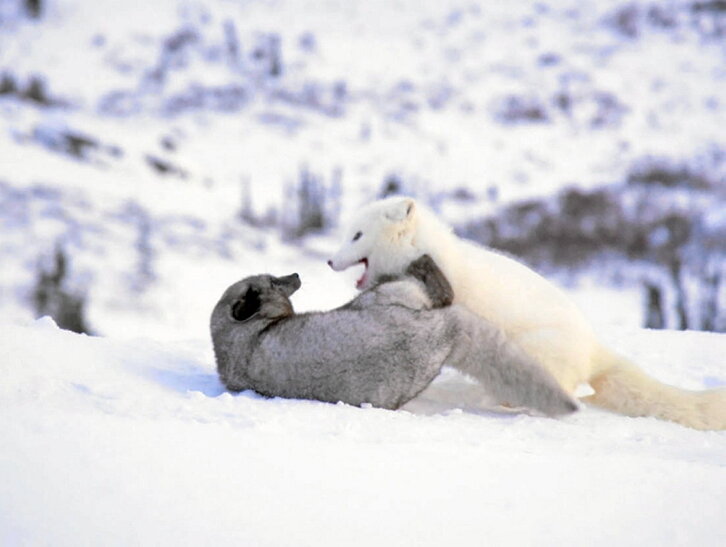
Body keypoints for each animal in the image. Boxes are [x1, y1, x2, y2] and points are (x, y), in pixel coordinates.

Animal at [211, 255, 578, 415]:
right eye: (273, 282)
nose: (297, 275)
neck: (242, 341)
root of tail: (442, 332)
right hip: (388, 298)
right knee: (442, 288)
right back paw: (421, 260)